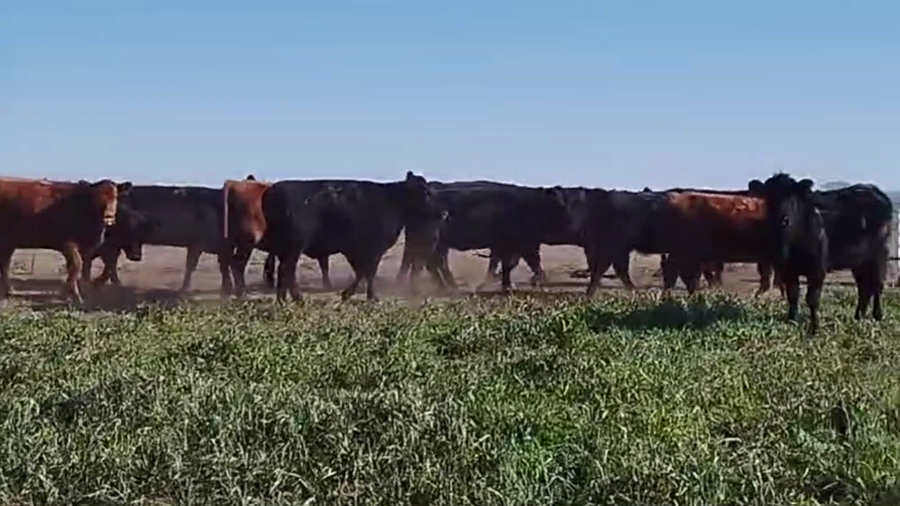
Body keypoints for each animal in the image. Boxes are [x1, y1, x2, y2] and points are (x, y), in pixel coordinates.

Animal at [0, 177, 132, 302]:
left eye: (115, 196)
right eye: (97, 197)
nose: (108, 217)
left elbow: (75, 267)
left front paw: (73, 294)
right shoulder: (68, 244)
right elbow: (76, 265)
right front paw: (69, 295)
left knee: (5, 264)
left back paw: (9, 290)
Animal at [260, 171, 437, 301]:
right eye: (427, 192)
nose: (441, 212)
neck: (391, 201)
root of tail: (273, 191)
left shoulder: (356, 250)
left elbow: (362, 271)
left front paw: (350, 294)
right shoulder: (372, 249)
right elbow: (368, 272)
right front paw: (370, 296)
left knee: (285, 272)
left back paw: (284, 299)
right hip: (296, 245)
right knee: (287, 269)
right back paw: (296, 298)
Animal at [748, 173, 894, 334]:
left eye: (792, 199)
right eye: (768, 200)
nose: (783, 219)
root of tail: (874, 190)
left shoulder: (817, 268)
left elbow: (812, 298)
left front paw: (814, 327)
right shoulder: (786, 269)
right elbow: (793, 295)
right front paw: (791, 321)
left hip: (879, 254)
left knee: (877, 285)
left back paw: (877, 315)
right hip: (859, 261)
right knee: (864, 288)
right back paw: (858, 317)